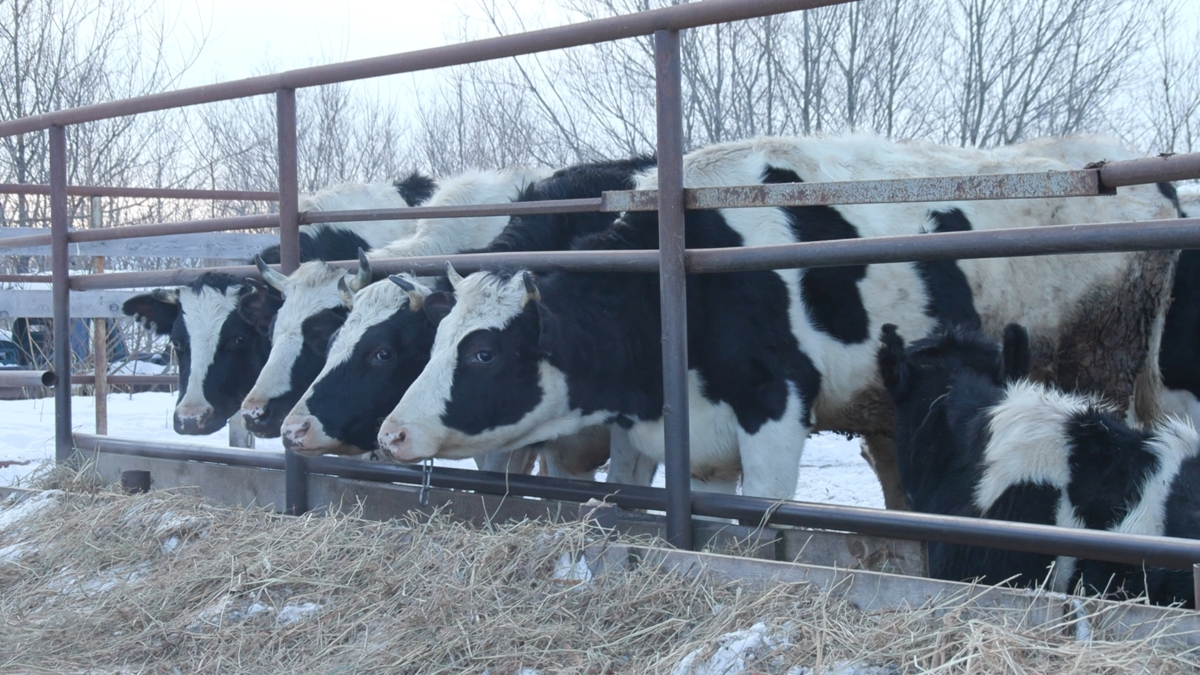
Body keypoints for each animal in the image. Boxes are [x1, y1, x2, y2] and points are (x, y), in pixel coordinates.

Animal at [379, 132, 1176, 499]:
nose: (393, 431)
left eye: (483, 352)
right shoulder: (692, 434)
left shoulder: (774, 402)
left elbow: (765, 511)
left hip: (1098, 375)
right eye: (434, 339)